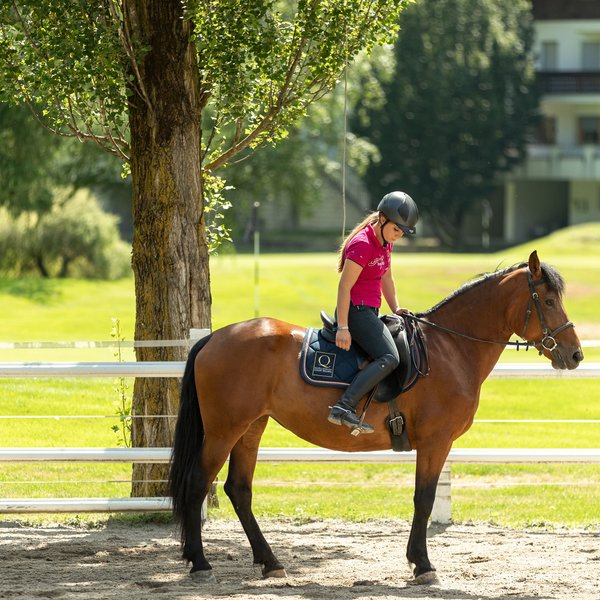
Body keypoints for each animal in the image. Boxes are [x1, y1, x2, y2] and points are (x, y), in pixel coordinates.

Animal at [169, 251, 580, 584]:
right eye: (547, 300)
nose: (575, 354)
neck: (450, 348)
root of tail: (214, 338)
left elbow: (423, 499)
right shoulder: (435, 442)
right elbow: (424, 499)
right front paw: (423, 565)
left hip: (251, 428)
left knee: (239, 489)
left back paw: (269, 562)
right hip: (224, 431)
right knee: (197, 483)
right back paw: (200, 563)